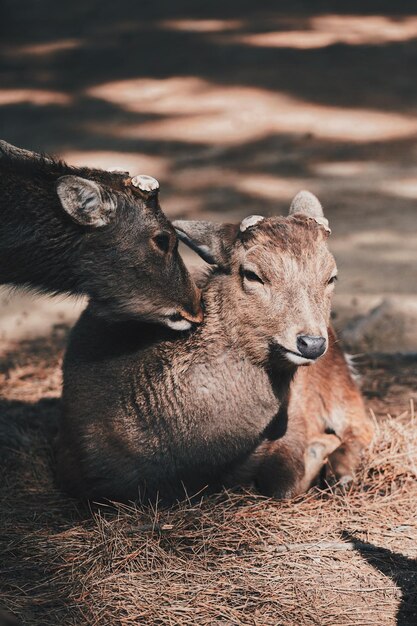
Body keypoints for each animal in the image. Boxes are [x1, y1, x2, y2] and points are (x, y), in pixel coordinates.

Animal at [57, 190, 372, 502]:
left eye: (331, 277)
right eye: (252, 274)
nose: (311, 343)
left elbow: (281, 481)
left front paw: (317, 450)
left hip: (338, 378)